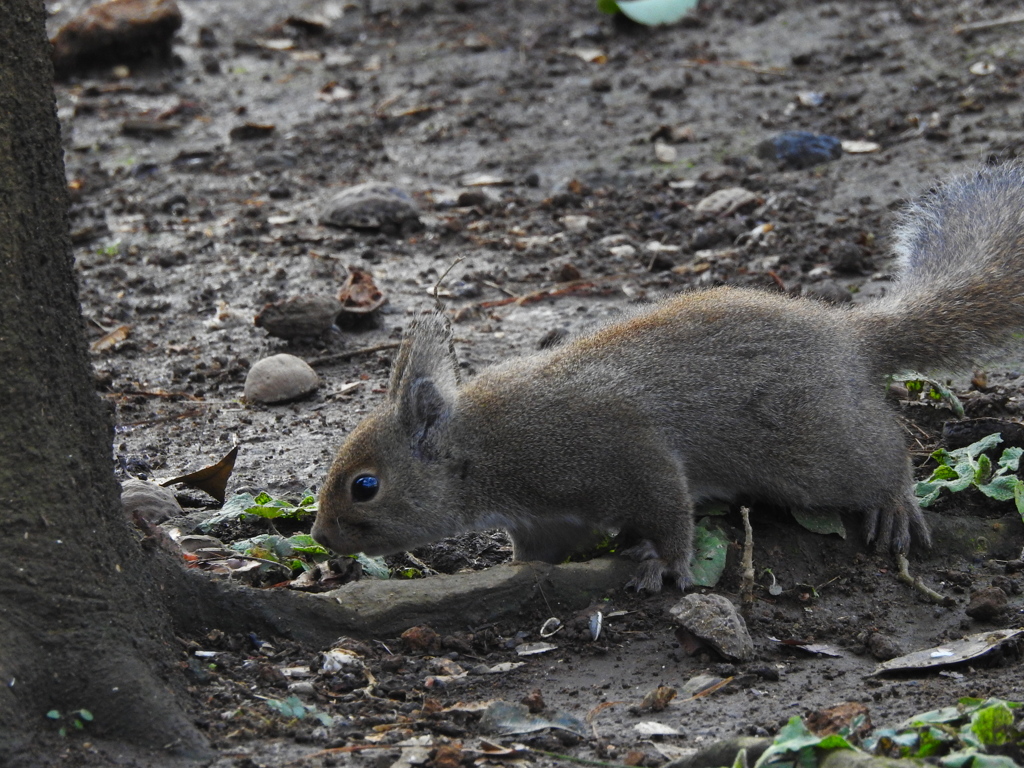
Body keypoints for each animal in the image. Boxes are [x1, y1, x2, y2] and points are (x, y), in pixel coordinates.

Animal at [309, 165, 1024, 593]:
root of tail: (847, 333)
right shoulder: (548, 519)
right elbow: (546, 549)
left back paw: (895, 503)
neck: (484, 450)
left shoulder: (621, 447)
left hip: (819, 451)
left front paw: (669, 564)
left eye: (365, 486)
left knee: (884, 456)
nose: (319, 537)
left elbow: (669, 506)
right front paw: (517, 572)